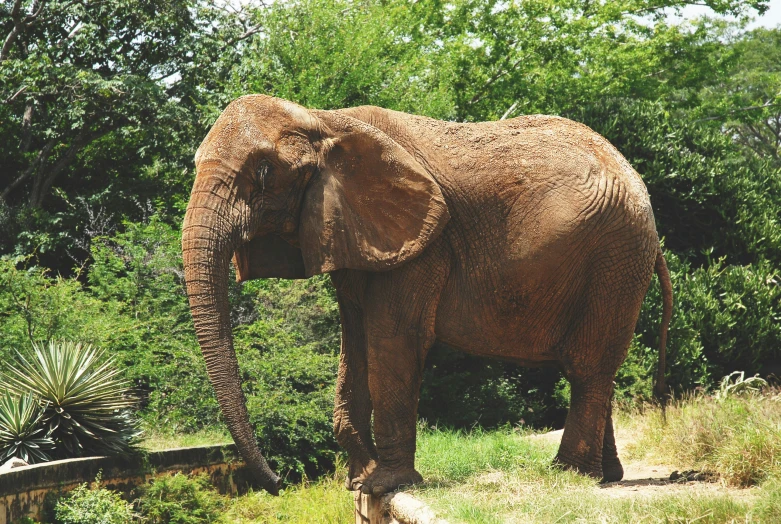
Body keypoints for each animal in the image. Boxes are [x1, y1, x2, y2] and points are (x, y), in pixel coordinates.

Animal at [181, 93, 672, 496]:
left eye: (263, 173)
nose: (279, 482)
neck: (324, 120)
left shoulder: (423, 243)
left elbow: (394, 340)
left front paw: (384, 486)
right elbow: (354, 342)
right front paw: (358, 482)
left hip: (614, 256)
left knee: (587, 365)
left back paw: (570, 475)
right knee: (598, 369)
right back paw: (607, 476)